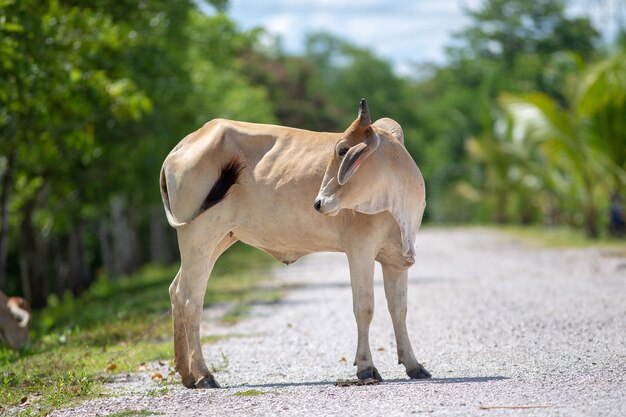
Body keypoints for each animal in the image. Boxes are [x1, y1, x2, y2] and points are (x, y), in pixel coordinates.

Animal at [160, 98, 428, 386]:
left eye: (343, 150)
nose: (318, 203)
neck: (398, 205)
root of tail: (182, 145)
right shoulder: (360, 250)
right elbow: (365, 307)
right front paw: (366, 368)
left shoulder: (396, 261)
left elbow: (399, 309)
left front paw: (414, 365)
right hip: (198, 235)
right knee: (190, 298)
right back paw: (203, 374)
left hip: (218, 239)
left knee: (176, 291)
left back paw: (186, 373)